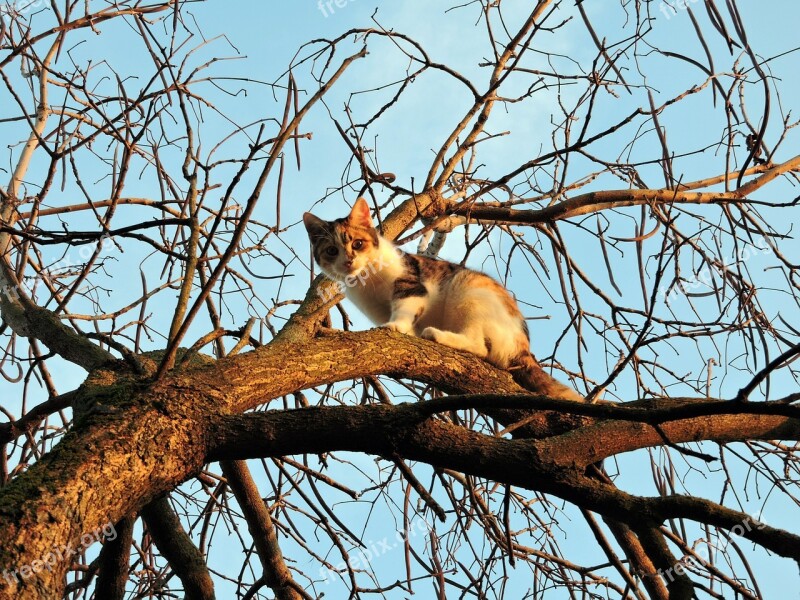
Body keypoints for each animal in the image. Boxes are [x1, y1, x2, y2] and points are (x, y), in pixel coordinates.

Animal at [304, 198, 584, 404]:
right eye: (332, 251)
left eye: (358, 243)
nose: (349, 261)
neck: (367, 281)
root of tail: (524, 346)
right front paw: (405, 330)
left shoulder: (411, 285)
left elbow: (404, 307)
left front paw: (396, 326)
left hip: (469, 291)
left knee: (480, 346)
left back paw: (437, 335)